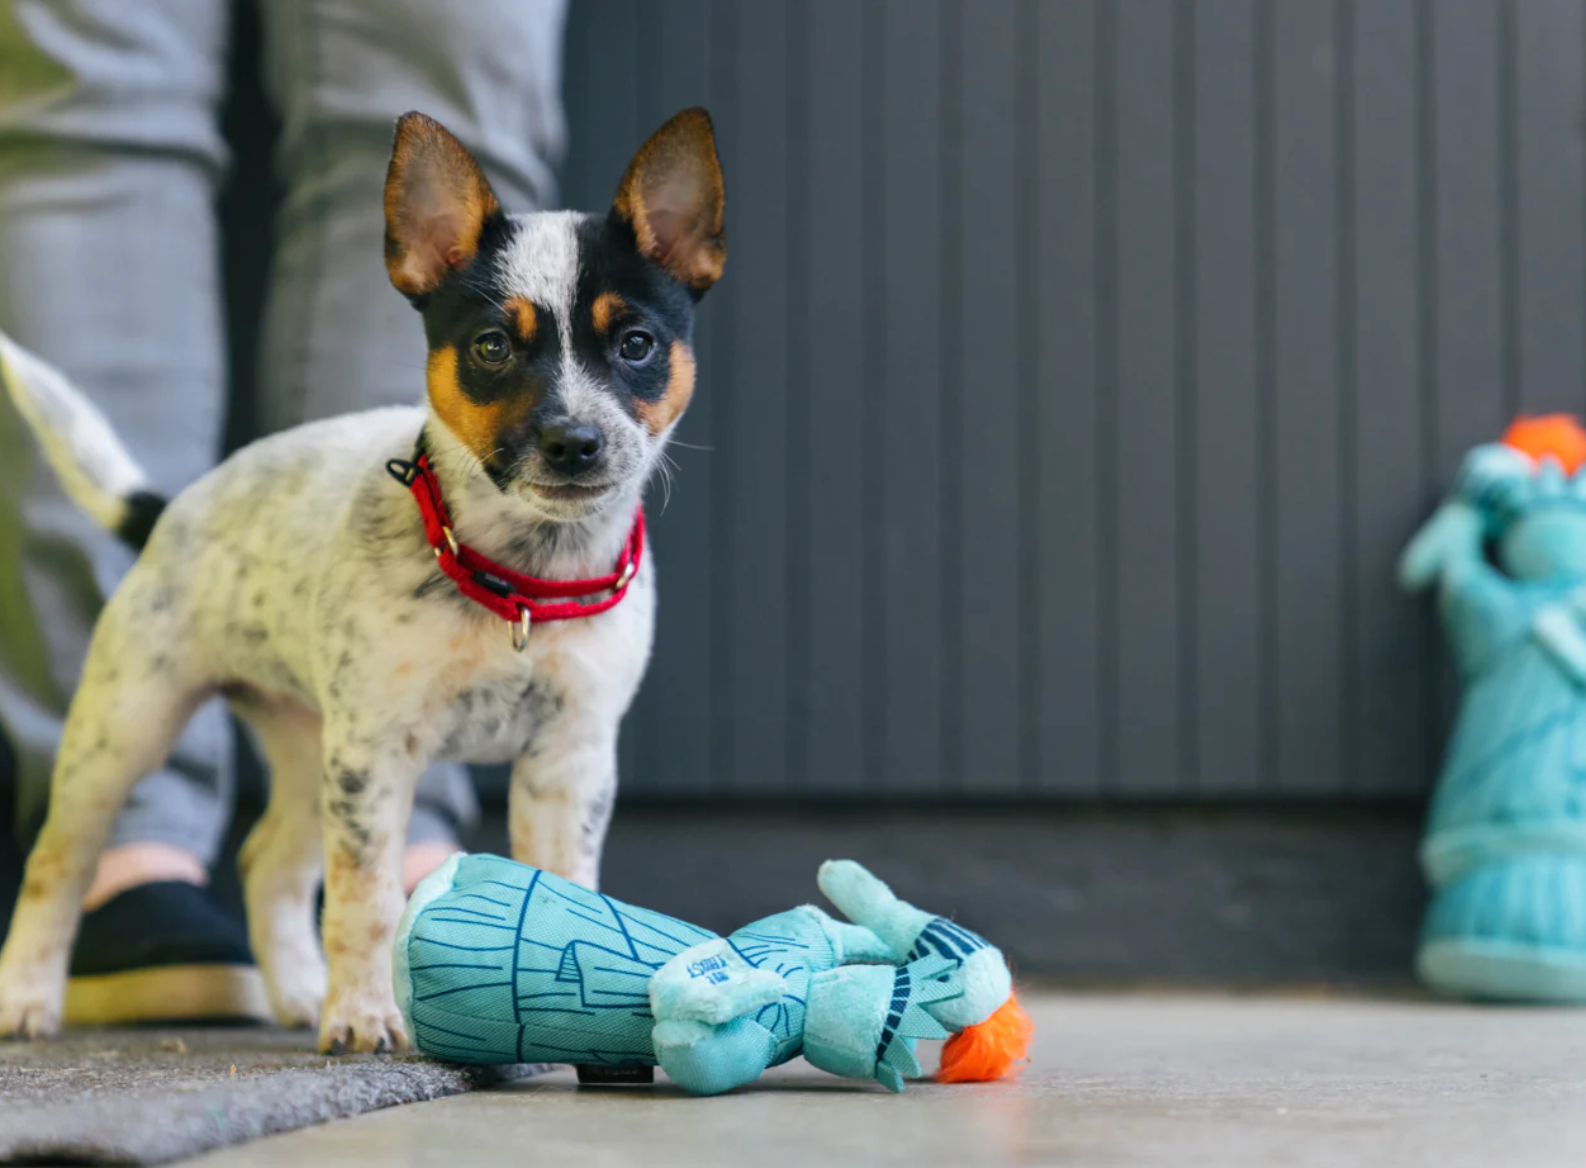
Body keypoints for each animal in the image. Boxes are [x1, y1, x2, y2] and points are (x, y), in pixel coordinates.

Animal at [0, 107, 726, 1047]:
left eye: (636, 344)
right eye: (492, 346)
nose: (575, 442)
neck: (518, 578)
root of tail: (171, 509)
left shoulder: (570, 759)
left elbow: (567, 892)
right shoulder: (378, 752)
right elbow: (367, 900)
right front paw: (364, 1016)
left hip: (311, 743)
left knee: (266, 863)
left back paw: (300, 993)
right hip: (126, 732)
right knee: (58, 864)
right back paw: (27, 995)